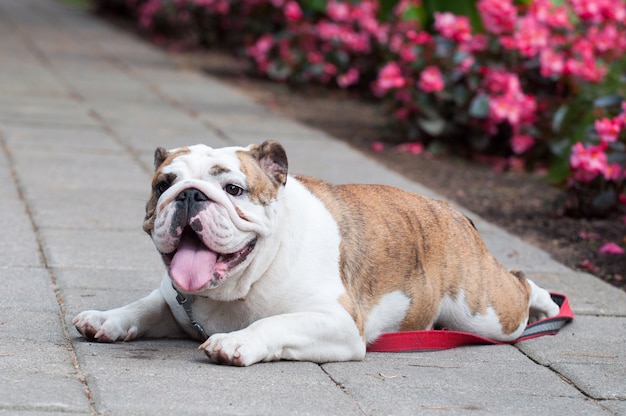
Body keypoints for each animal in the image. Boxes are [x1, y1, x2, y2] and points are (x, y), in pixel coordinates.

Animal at [74, 141, 560, 366]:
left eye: (233, 189)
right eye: (163, 184)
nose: (190, 195)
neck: (241, 285)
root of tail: (452, 210)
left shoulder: (337, 322)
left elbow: (274, 322)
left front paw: (236, 341)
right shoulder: (174, 300)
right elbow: (143, 306)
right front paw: (106, 319)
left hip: (484, 313)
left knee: (519, 283)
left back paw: (547, 305)